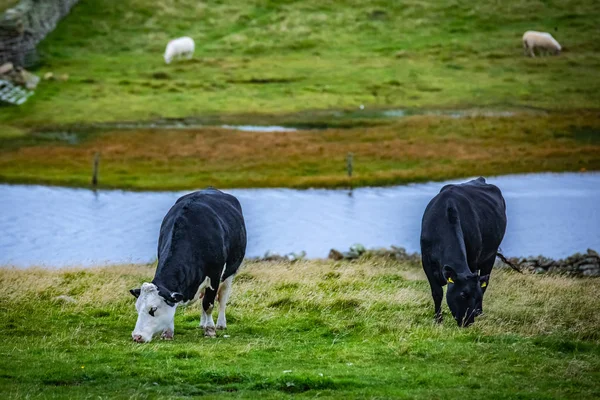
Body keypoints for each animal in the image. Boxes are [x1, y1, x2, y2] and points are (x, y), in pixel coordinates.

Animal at [129, 189, 246, 342]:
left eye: (153, 309)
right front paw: (167, 332)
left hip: (230, 272)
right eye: (137, 308)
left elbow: (208, 304)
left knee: (222, 297)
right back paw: (202, 323)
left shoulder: (214, 275)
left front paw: (210, 330)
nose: (137, 336)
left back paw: (220, 324)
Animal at [422, 178, 506, 328]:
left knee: (486, 281)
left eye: (477, 298)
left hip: (490, 256)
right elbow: (437, 292)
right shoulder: (426, 261)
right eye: (463, 294)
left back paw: (480, 312)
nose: (468, 322)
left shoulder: (472, 260)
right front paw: (438, 320)